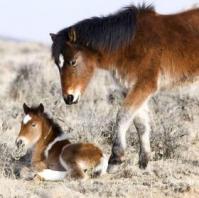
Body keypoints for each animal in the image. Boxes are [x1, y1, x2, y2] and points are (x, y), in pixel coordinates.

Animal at [49, 3, 199, 169]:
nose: (69, 97)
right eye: (57, 64)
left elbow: (123, 115)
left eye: (73, 61)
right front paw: (143, 163)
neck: (130, 45)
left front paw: (116, 158)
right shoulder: (130, 88)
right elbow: (140, 123)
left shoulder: (145, 86)